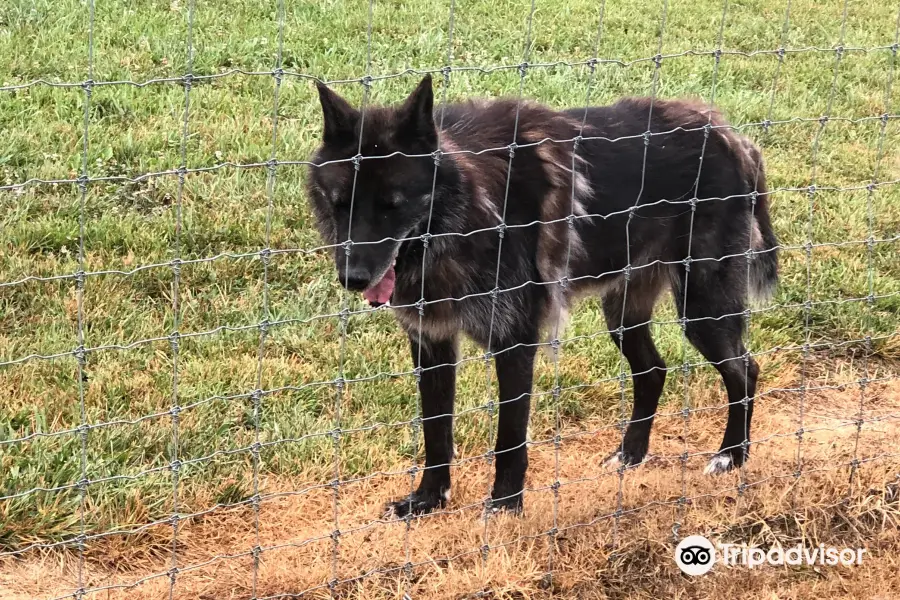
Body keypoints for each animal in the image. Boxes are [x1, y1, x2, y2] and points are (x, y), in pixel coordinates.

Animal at [306, 75, 776, 516]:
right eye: (341, 203)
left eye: (393, 205)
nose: (352, 278)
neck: (468, 211)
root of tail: (730, 136)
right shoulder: (431, 344)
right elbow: (435, 432)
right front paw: (427, 500)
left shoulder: (514, 343)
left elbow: (509, 437)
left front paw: (504, 505)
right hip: (623, 316)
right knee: (654, 371)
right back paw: (631, 454)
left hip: (702, 312)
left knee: (745, 371)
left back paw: (732, 455)